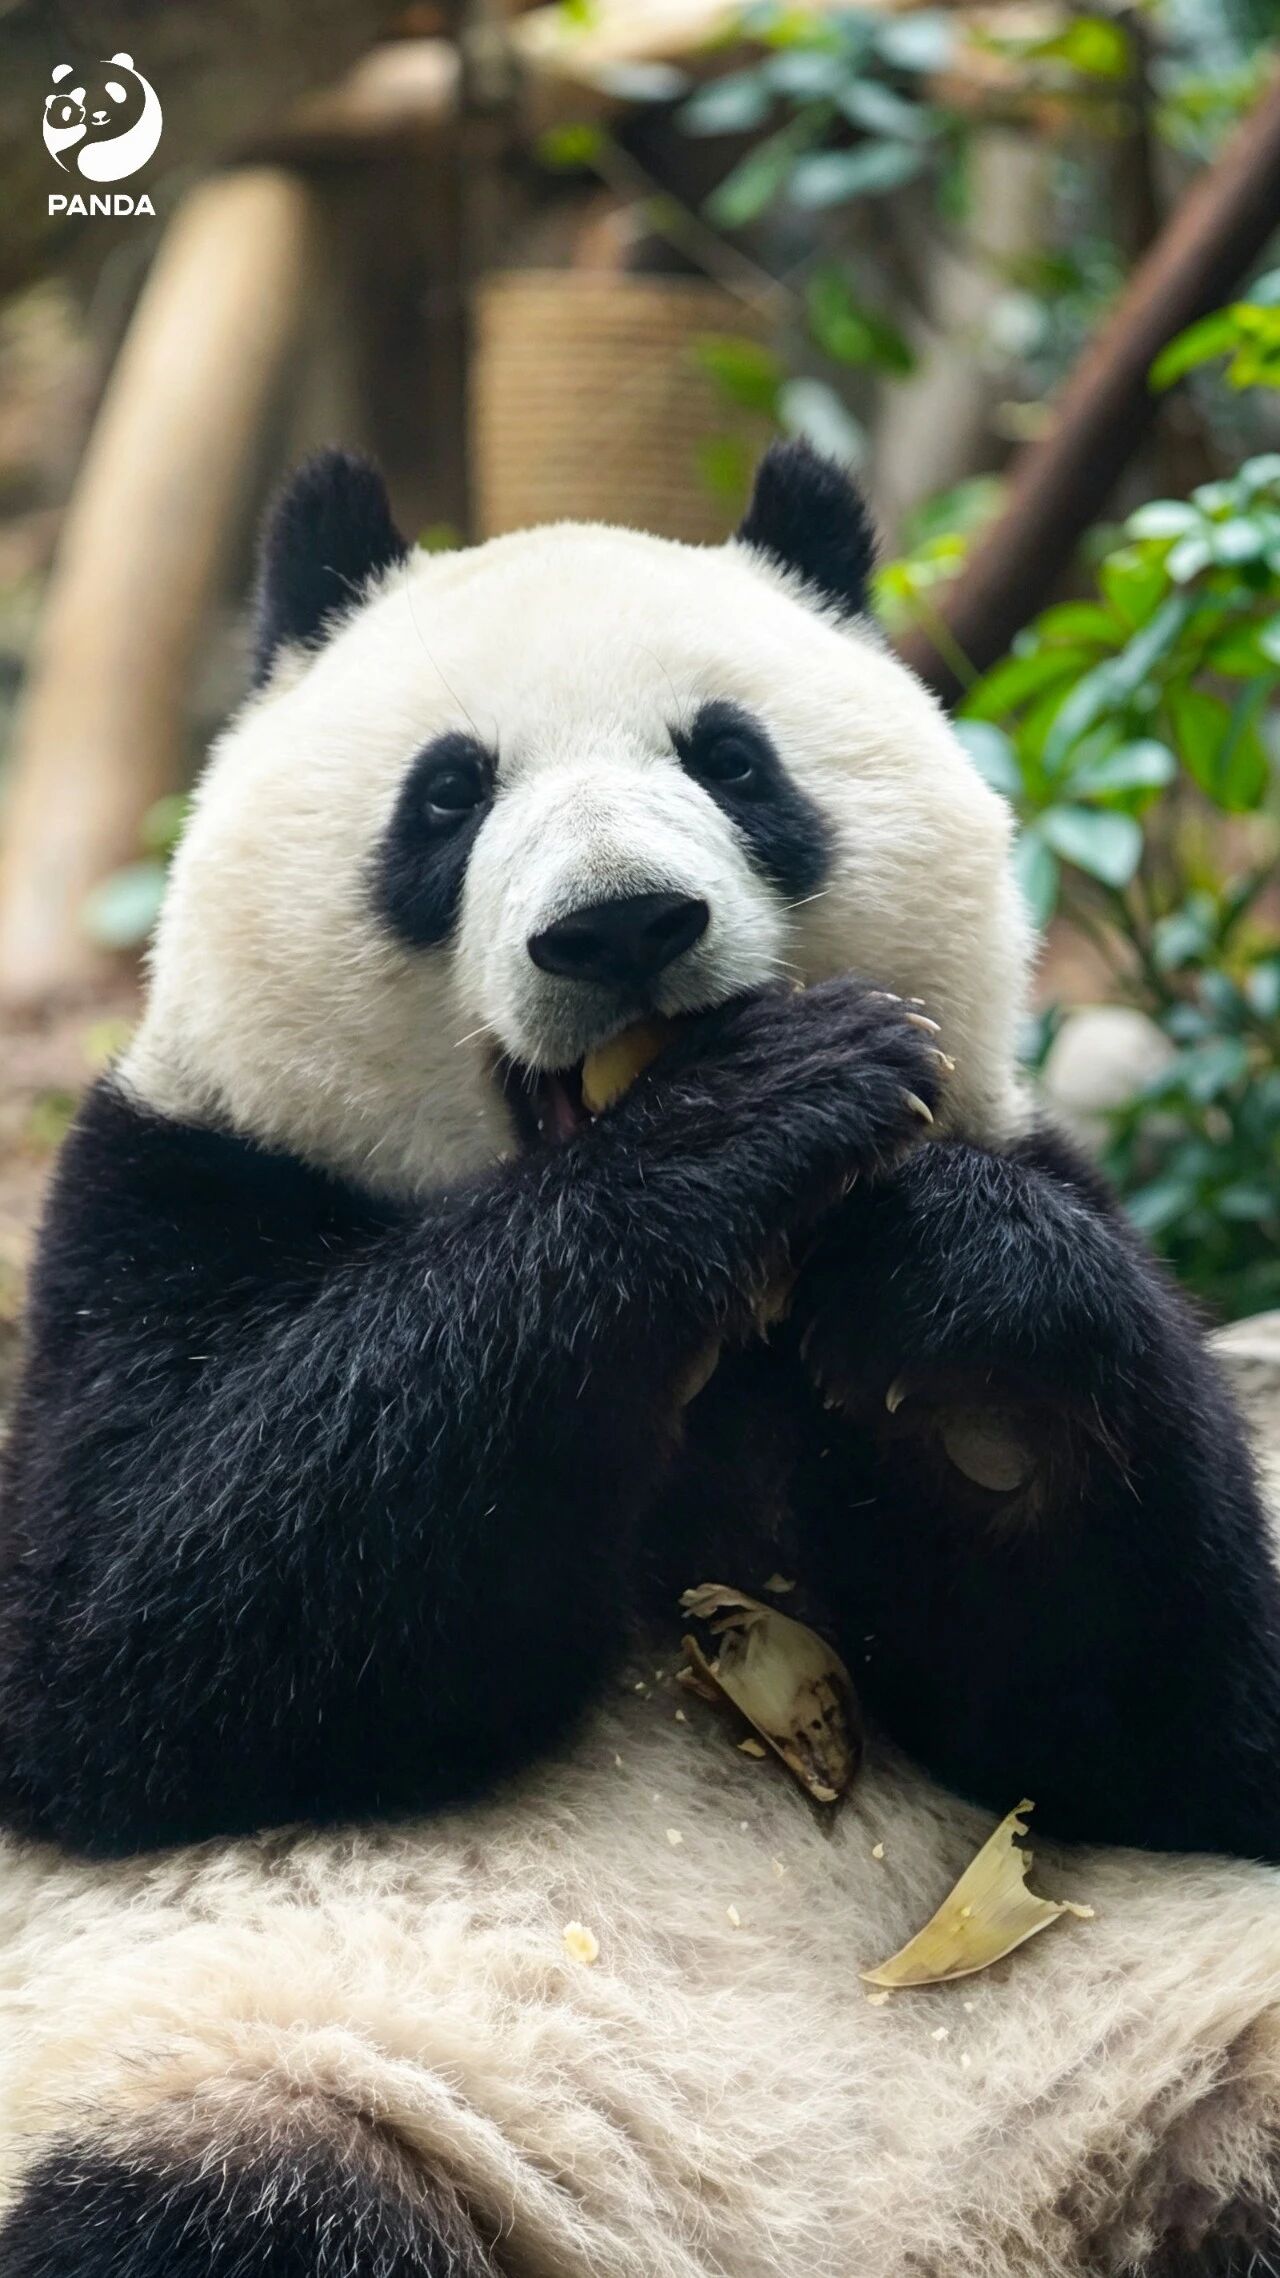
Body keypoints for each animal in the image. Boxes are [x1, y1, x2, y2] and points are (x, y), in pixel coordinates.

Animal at [1, 441, 1280, 2278]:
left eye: (733, 760)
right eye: (446, 798)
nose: (619, 931)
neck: (726, 1345)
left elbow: (1167, 1716)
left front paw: (959, 1295)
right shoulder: (165, 1199)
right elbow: (129, 1634)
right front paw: (746, 1115)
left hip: (1171, 2056)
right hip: (276, 2061)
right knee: (216, 2200)